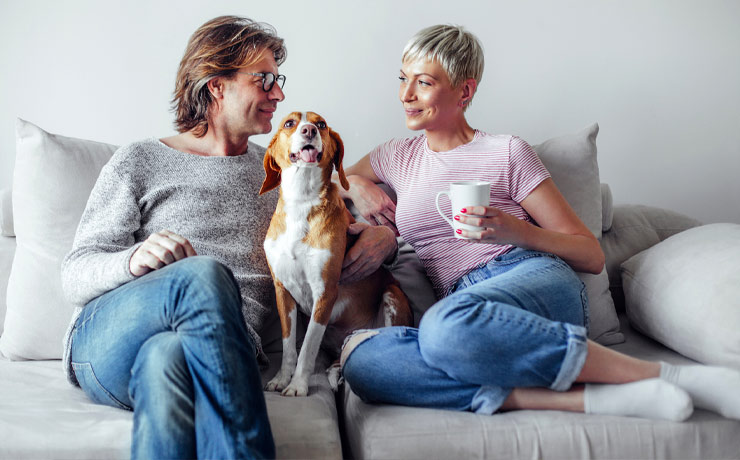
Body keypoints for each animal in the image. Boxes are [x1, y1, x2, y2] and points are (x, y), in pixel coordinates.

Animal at [258, 111, 410, 396]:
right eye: (289, 123)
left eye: (321, 124)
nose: (309, 130)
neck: (302, 201)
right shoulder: (282, 291)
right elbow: (288, 346)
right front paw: (281, 379)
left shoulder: (325, 292)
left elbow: (307, 348)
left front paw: (298, 385)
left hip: (392, 295)